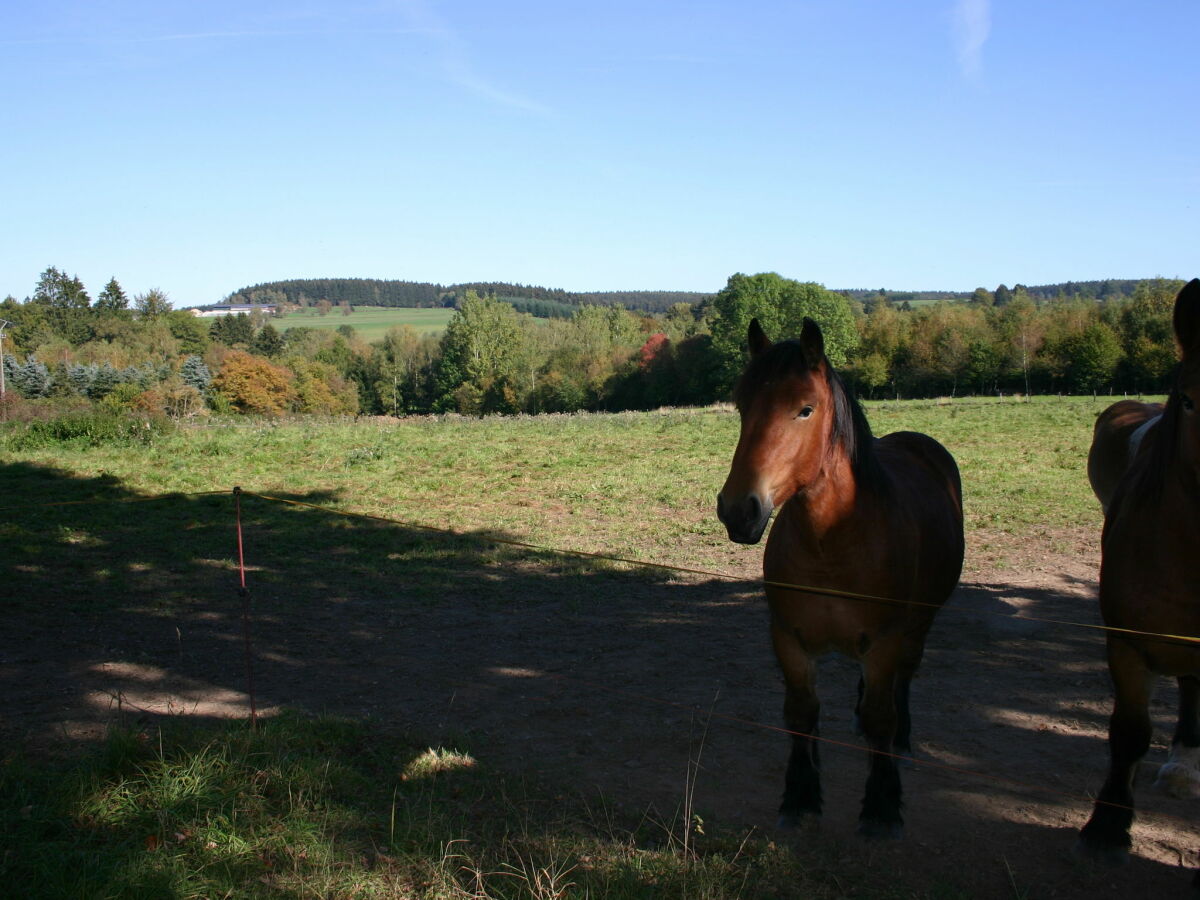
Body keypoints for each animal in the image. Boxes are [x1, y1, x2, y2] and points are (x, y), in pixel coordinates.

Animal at [710, 316, 964, 840]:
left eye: (805, 409)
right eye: (743, 406)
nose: (738, 510)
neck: (833, 541)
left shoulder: (886, 640)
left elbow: (882, 717)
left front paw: (882, 808)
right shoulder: (788, 639)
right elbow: (802, 713)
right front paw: (800, 797)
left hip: (918, 626)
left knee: (902, 683)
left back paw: (902, 741)